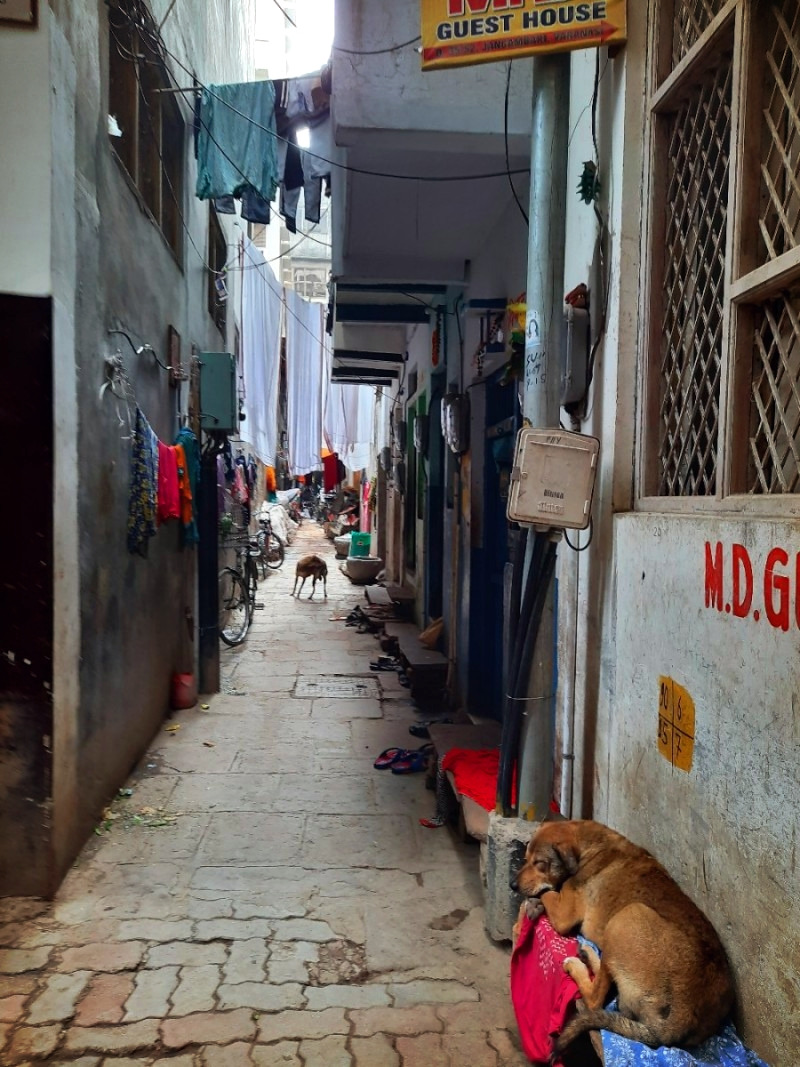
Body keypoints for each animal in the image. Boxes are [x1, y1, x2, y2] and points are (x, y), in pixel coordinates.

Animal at [511, 819, 735, 1053]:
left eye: (540, 863)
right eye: (525, 858)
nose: (512, 885)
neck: (589, 844)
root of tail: (679, 1021)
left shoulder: (564, 915)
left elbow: (547, 892)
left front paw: (535, 903)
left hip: (625, 917)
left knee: (595, 998)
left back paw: (577, 964)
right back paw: (588, 953)